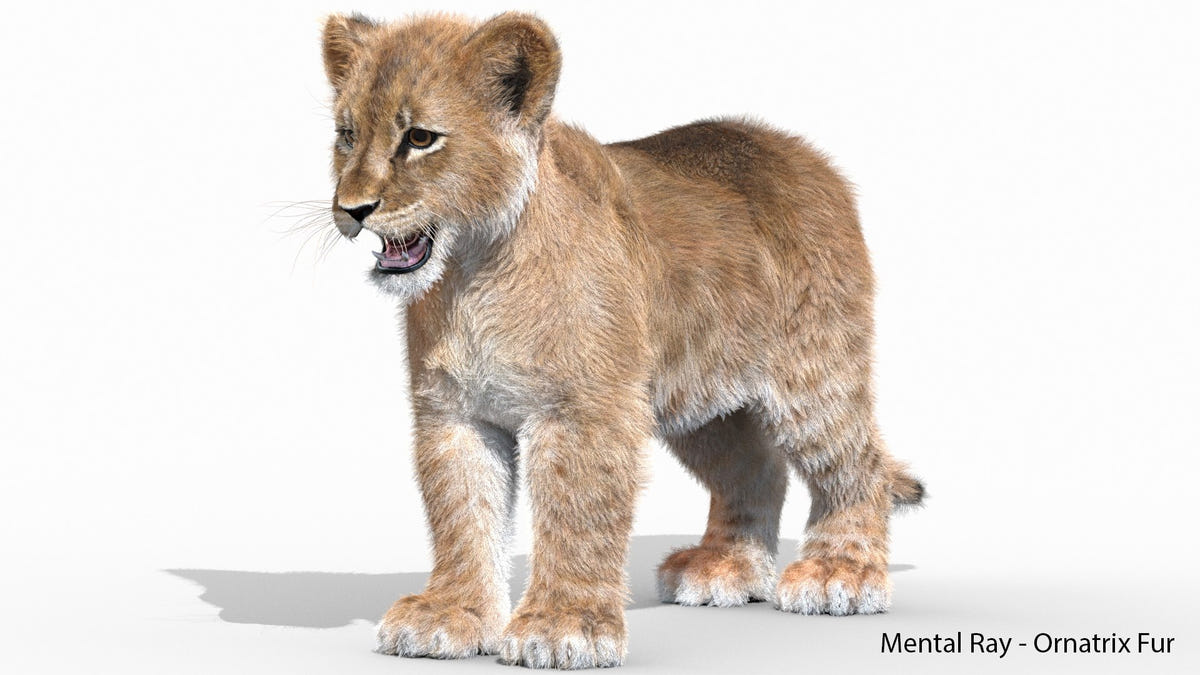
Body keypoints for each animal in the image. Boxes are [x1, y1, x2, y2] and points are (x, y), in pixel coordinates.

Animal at [319, 11, 924, 669]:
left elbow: (577, 515)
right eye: (347, 135)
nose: (351, 208)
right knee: (756, 468)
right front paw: (449, 616)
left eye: (421, 138)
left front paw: (562, 629)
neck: (470, 276)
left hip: (811, 377)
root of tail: (799, 151)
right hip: (699, 402)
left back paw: (839, 575)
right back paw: (724, 569)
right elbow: (462, 514)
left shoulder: (586, 409)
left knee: (856, 464)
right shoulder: (454, 413)